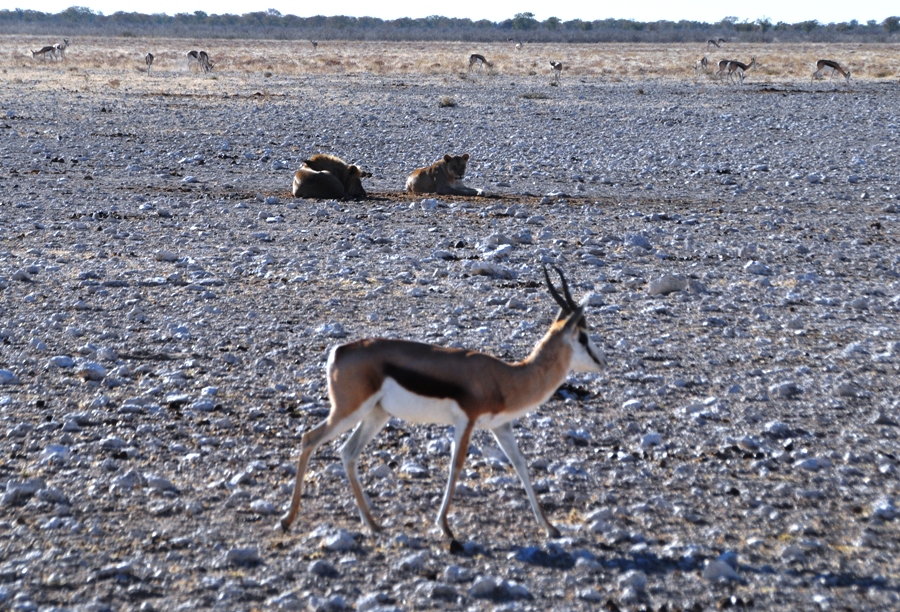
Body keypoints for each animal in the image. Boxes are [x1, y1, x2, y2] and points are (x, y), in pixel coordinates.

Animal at [278, 266, 608, 536]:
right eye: (582, 336)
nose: (603, 361)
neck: (507, 377)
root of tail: (339, 351)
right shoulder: (467, 421)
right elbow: (456, 465)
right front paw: (445, 527)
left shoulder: (500, 427)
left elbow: (520, 465)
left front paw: (550, 527)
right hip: (348, 411)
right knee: (309, 439)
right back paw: (287, 519)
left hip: (376, 415)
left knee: (347, 452)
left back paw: (372, 524)